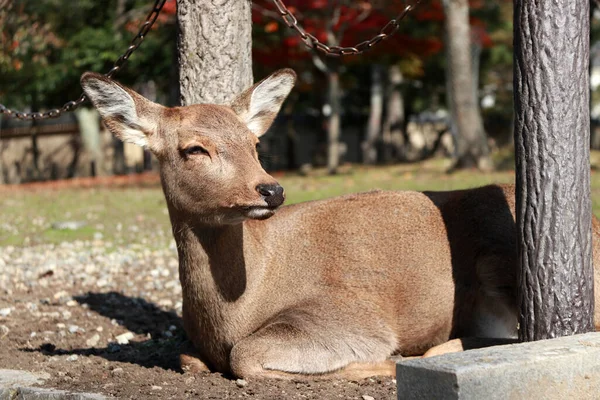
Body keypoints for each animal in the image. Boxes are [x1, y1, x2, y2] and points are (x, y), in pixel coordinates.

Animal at [79, 68, 600, 378]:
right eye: (194, 148)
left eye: (253, 143)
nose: (271, 189)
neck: (235, 310)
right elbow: (188, 358)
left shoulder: (349, 315)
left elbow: (246, 357)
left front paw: (381, 364)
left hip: (500, 259)